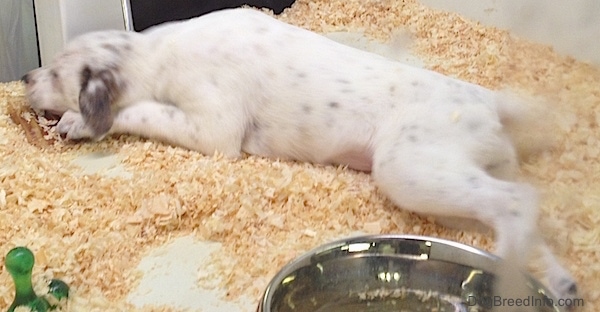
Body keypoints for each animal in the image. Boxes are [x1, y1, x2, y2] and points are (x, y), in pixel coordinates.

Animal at [23, 7, 576, 308]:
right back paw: (556, 282)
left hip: (410, 169)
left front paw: (77, 120)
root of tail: (491, 102)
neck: (156, 52)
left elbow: (135, 109)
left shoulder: (213, 127)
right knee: (522, 213)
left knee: (518, 202)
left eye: (57, 70)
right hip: (457, 184)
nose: (26, 76)